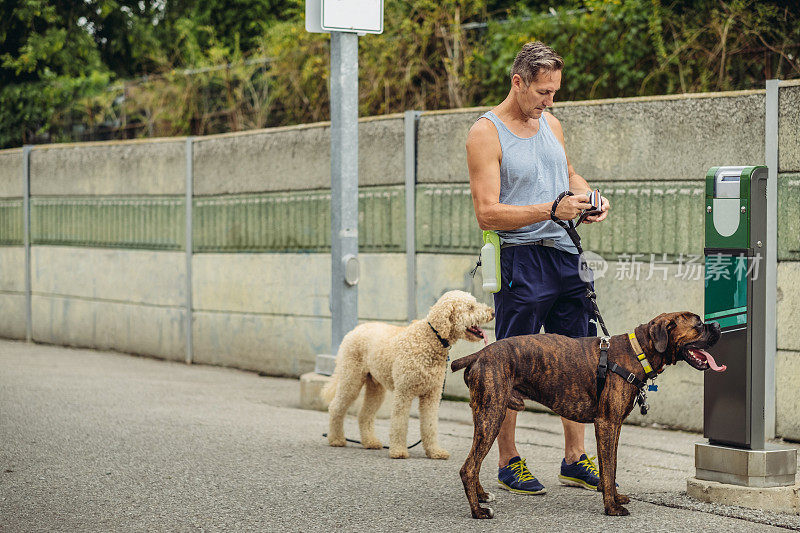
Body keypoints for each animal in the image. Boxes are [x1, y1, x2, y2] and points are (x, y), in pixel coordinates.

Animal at [450, 312, 724, 516]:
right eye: (698, 325)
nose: (718, 325)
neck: (638, 352)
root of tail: (479, 354)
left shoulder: (614, 426)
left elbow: (610, 466)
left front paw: (614, 497)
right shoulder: (606, 424)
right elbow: (609, 467)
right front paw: (611, 507)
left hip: (485, 416)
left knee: (474, 464)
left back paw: (482, 496)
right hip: (492, 416)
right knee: (468, 467)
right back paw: (477, 511)